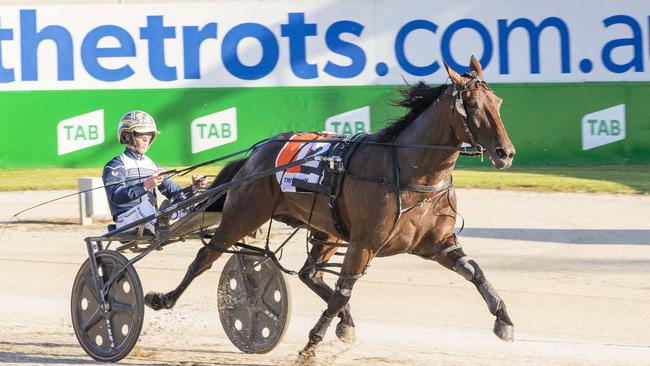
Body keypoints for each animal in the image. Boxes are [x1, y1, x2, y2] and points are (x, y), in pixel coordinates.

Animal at [144, 57, 512, 358]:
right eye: (473, 105)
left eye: (497, 101)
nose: (505, 153)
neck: (409, 172)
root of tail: (256, 154)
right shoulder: (364, 244)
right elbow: (343, 291)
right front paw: (311, 344)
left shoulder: (437, 244)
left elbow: (475, 272)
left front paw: (504, 320)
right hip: (244, 214)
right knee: (206, 256)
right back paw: (163, 298)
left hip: (327, 229)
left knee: (310, 272)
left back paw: (344, 322)